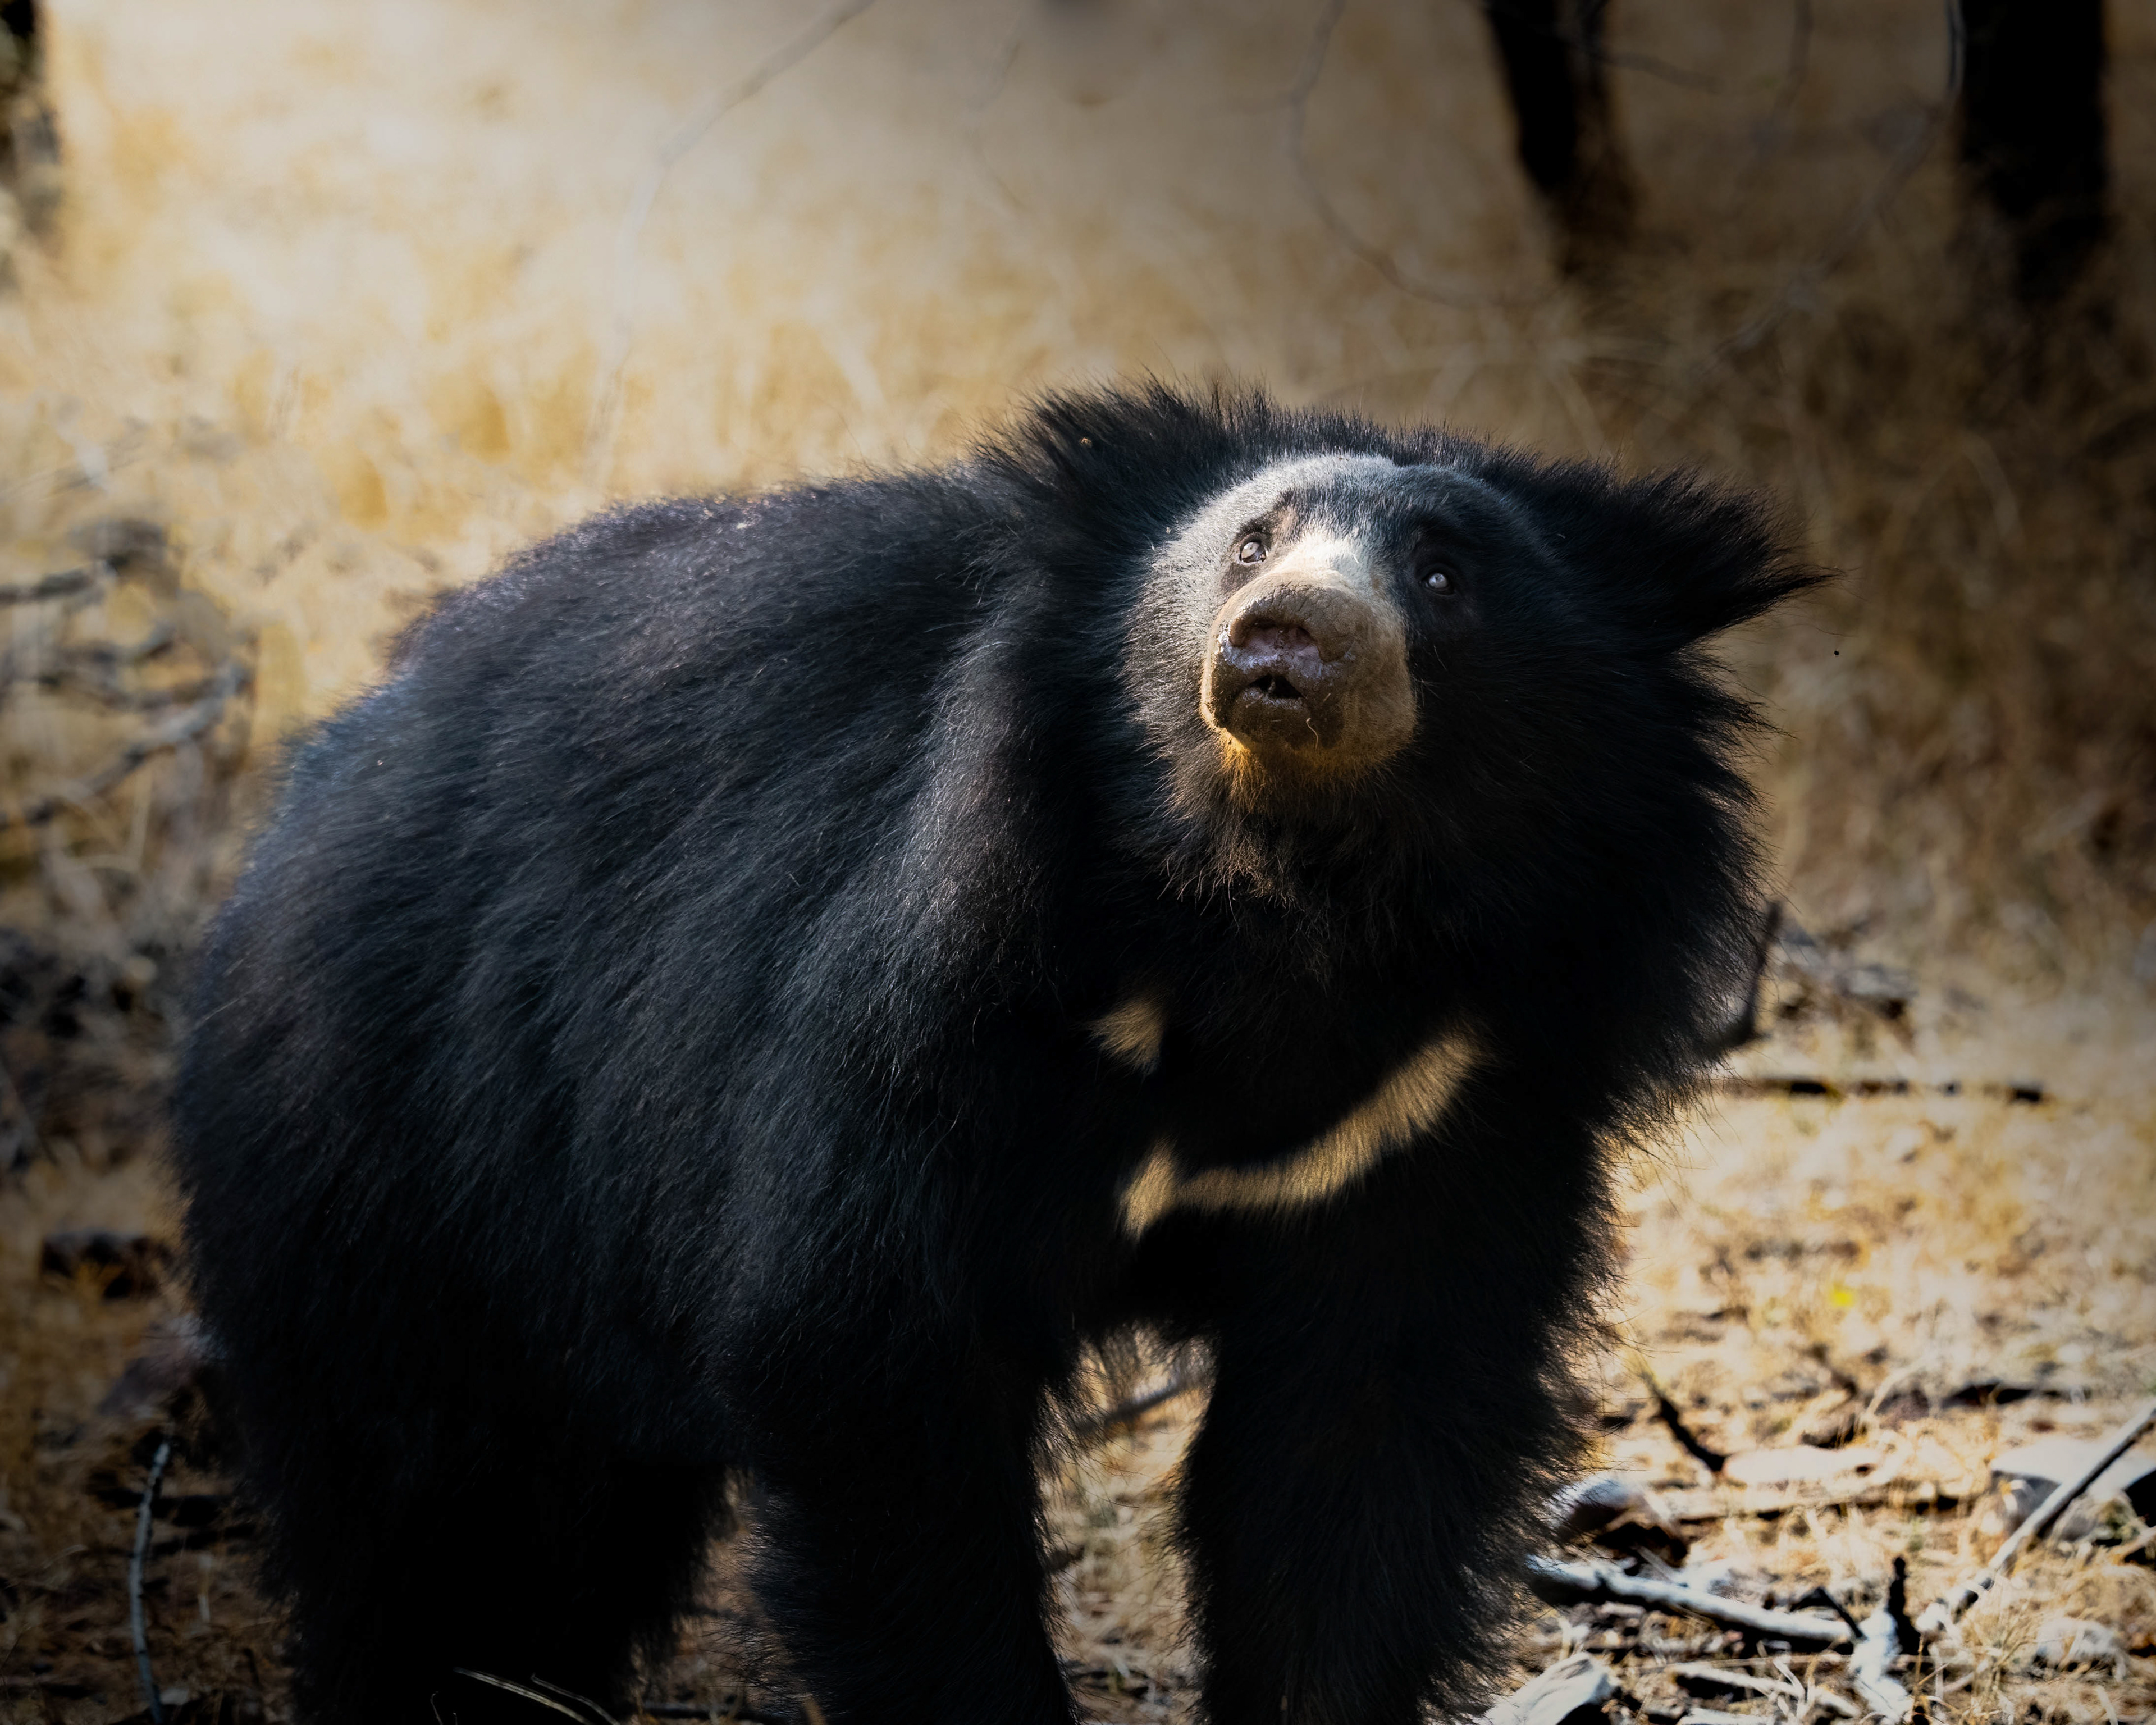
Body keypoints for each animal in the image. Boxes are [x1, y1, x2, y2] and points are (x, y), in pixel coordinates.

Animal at [172, 383, 1813, 1725]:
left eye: (1442, 573)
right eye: (1249, 541)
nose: (1284, 642)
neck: (1283, 915)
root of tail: (326, 771)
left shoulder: (1440, 1107)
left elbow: (1358, 1440)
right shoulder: (956, 1015)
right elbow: (869, 1354)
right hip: (399, 1135)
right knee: (440, 1487)